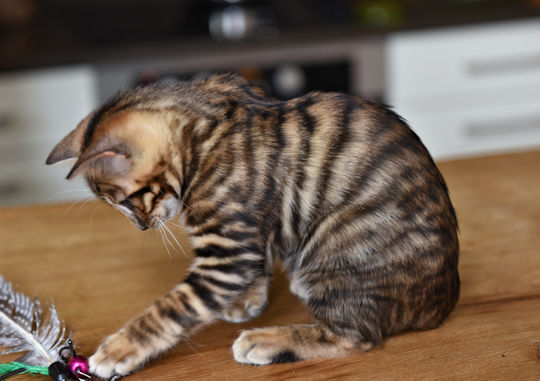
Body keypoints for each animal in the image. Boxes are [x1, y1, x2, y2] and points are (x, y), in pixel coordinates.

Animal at [47, 73, 460, 378]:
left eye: (124, 201)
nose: (142, 228)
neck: (202, 126)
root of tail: (440, 304)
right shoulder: (247, 236)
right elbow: (258, 260)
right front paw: (247, 298)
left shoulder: (228, 253)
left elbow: (175, 307)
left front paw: (121, 348)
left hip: (335, 250)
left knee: (356, 336)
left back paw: (265, 341)